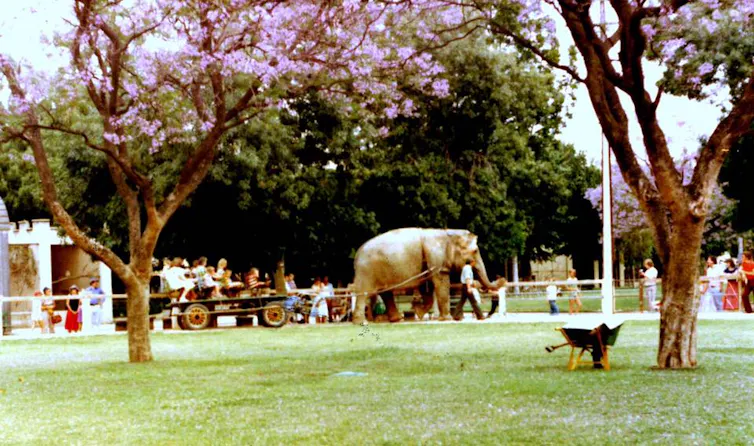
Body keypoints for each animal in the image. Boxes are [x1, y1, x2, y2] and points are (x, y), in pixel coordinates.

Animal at [351, 228, 496, 324]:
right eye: (475, 251)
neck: (447, 233)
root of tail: (357, 255)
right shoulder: (436, 259)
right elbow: (441, 283)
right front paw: (446, 319)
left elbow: (429, 289)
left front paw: (418, 311)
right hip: (367, 272)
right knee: (363, 294)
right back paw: (361, 322)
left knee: (386, 293)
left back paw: (397, 320)